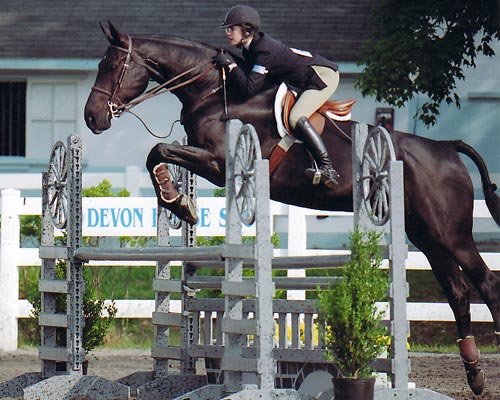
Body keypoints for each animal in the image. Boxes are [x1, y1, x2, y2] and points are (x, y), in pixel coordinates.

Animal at [85, 21, 500, 394]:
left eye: (112, 65)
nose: (92, 117)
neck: (216, 92)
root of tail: (446, 147)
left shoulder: (219, 164)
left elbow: (159, 149)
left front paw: (178, 201)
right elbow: (158, 153)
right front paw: (177, 200)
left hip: (450, 233)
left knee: (485, 282)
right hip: (427, 235)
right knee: (457, 293)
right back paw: (474, 373)